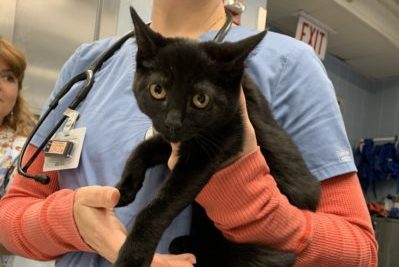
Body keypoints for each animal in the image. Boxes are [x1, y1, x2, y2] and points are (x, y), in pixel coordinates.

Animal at [114, 6, 320, 267]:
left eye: (201, 99)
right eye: (157, 90)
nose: (173, 122)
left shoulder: (218, 143)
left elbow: (161, 205)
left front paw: (133, 254)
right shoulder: (181, 140)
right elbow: (142, 149)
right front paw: (124, 188)